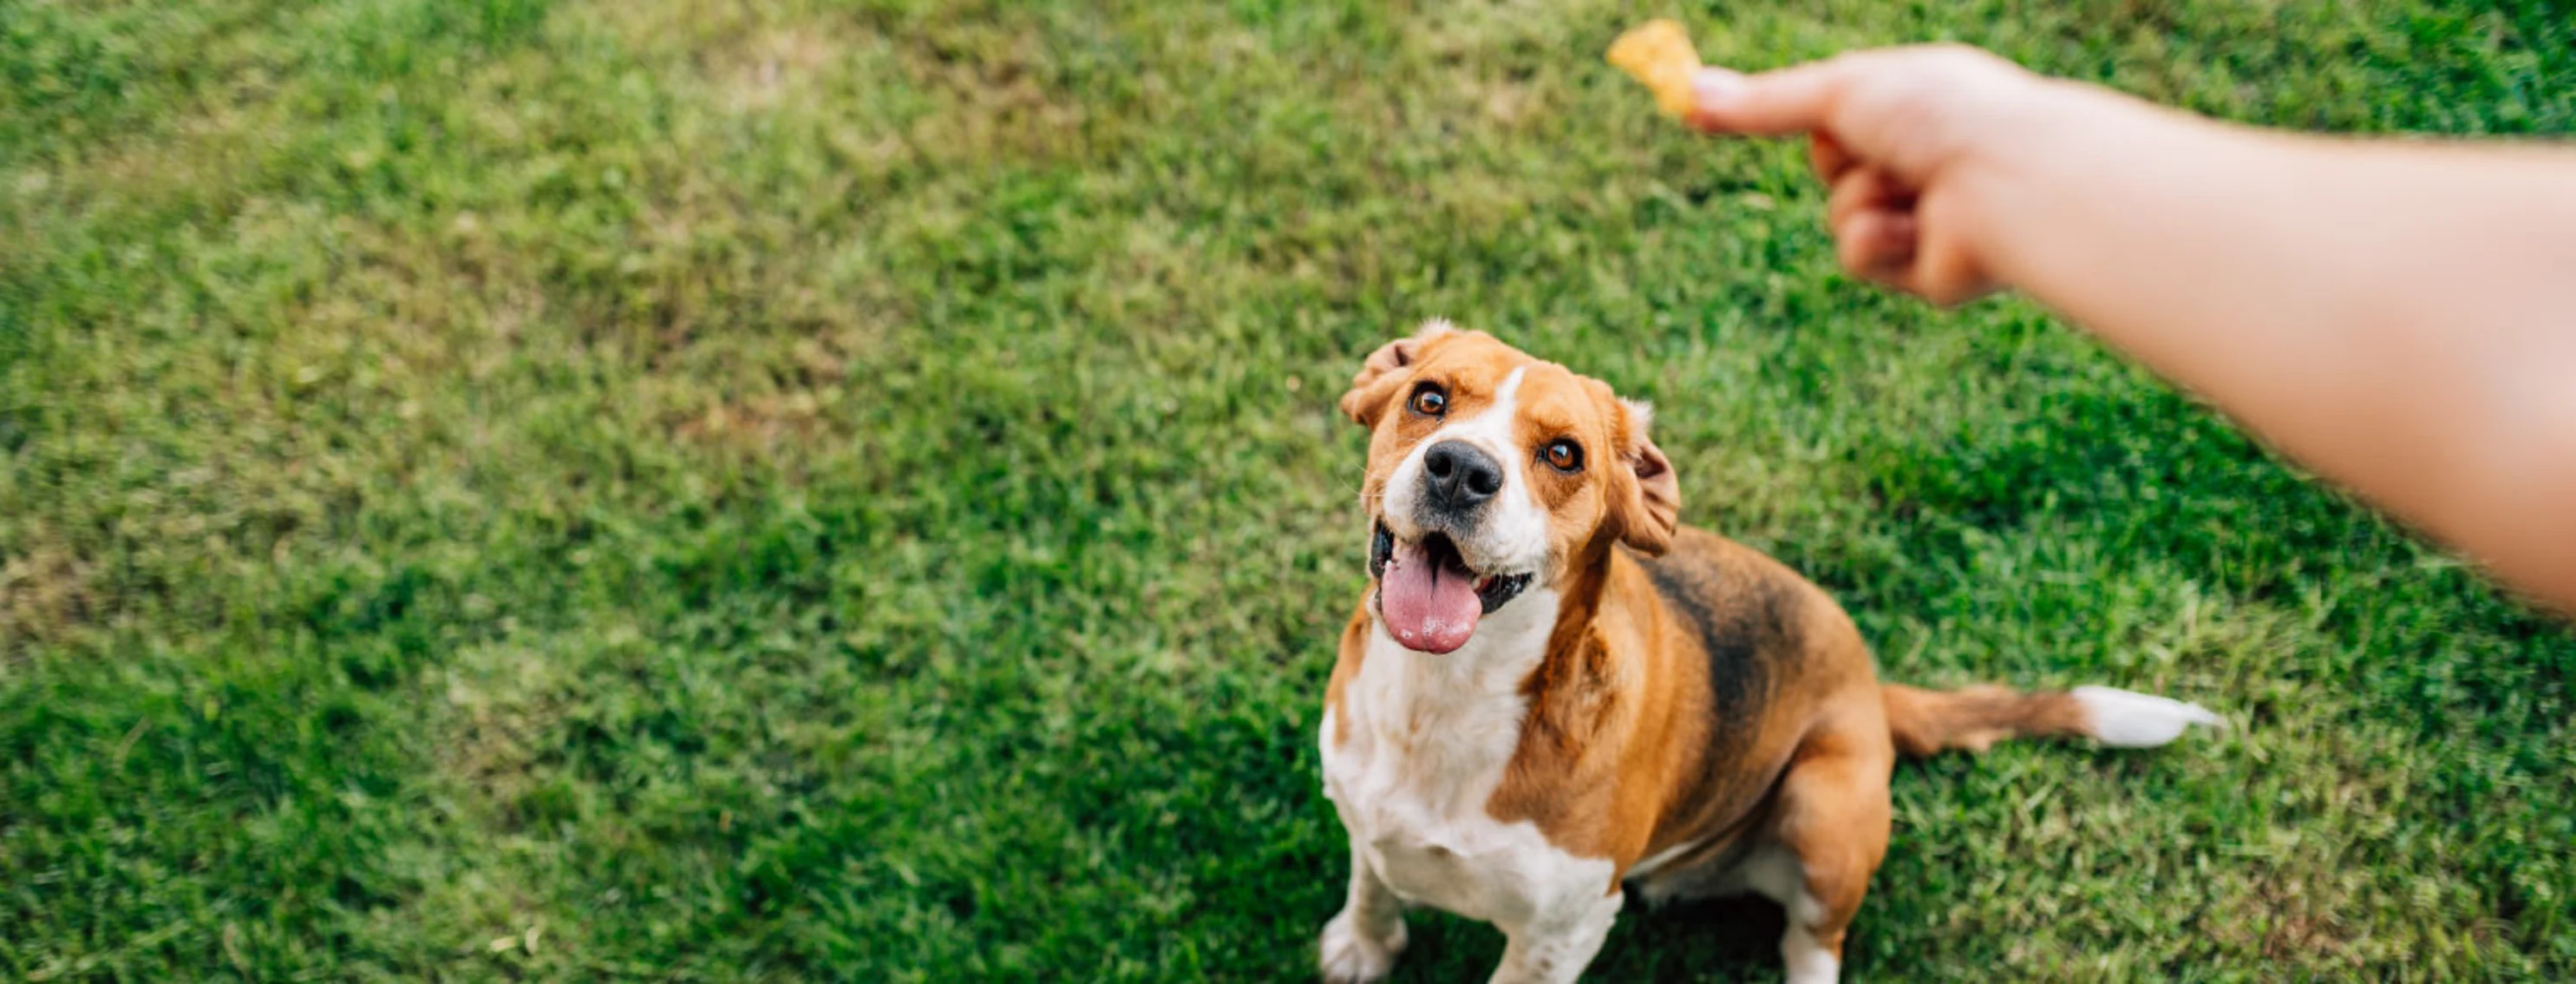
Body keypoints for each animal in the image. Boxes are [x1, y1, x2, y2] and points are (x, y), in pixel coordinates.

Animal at [1318, 325, 2226, 984]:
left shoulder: (1561, 931)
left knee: (1812, 944)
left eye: (1564, 453)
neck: (1447, 697)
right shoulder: (1363, 816)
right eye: (1429, 398)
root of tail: (1872, 688)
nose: (1461, 469)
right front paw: (1363, 949)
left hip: (1824, 812)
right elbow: (1370, 886)